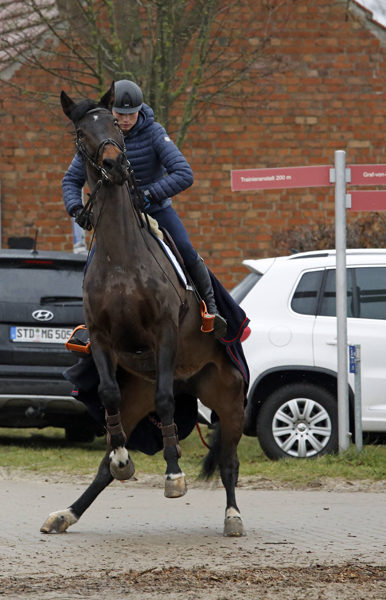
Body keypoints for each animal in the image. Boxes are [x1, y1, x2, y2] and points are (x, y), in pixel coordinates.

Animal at [40, 82, 246, 536]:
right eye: (81, 133)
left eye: (116, 125)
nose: (115, 164)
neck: (121, 259)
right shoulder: (102, 339)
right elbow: (107, 394)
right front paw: (123, 459)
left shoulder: (164, 334)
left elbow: (166, 400)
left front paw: (173, 475)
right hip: (139, 398)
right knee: (104, 465)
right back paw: (68, 512)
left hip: (228, 398)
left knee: (228, 461)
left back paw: (233, 516)